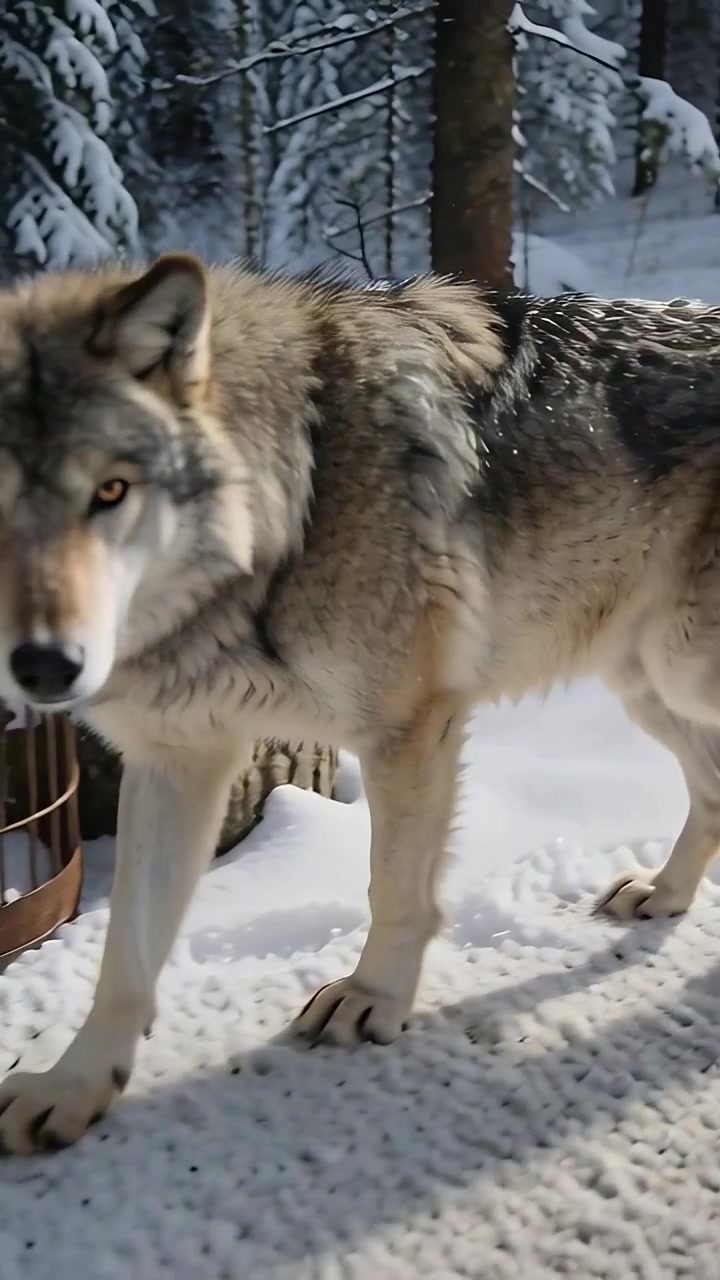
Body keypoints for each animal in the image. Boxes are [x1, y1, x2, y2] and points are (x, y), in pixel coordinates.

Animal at [0, 254, 718, 1153]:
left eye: (110, 491)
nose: (45, 665)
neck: (293, 497)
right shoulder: (176, 758)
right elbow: (124, 950)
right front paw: (76, 1084)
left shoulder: (408, 730)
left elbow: (393, 887)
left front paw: (375, 999)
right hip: (648, 684)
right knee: (712, 788)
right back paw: (665, 892)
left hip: (683, 669)